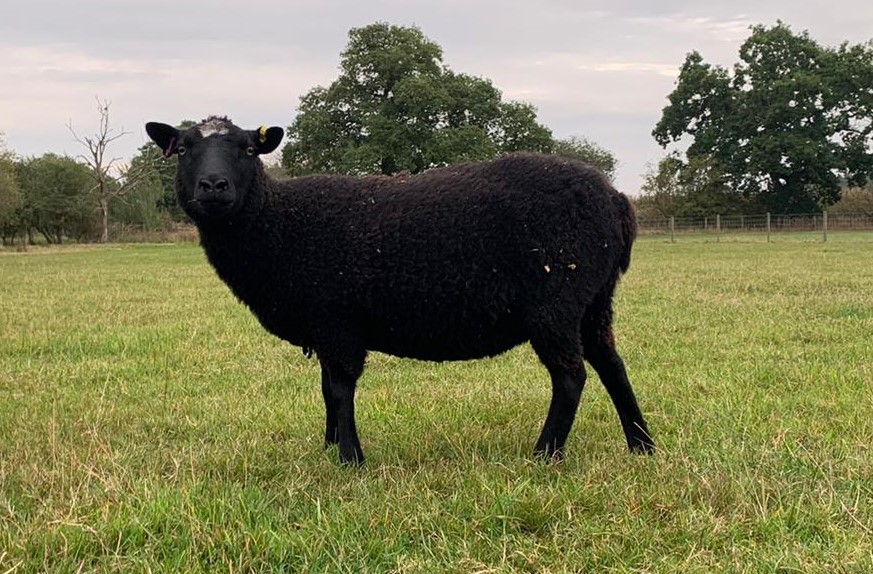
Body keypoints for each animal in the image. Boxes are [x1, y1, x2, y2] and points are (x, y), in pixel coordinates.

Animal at [145, 116, 654, 465]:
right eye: (183, 148)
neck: (279, 224)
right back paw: (642, 445)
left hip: (557, 297)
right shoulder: (325, 323)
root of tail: (616, 200)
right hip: (593, 299)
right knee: (611, 364)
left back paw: (544, 454)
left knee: (570, 376)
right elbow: (325, 390)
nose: (214, 185)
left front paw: (350, 458)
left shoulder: (337, 319)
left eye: (249, 149)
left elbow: (339, 387)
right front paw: (329, 446)